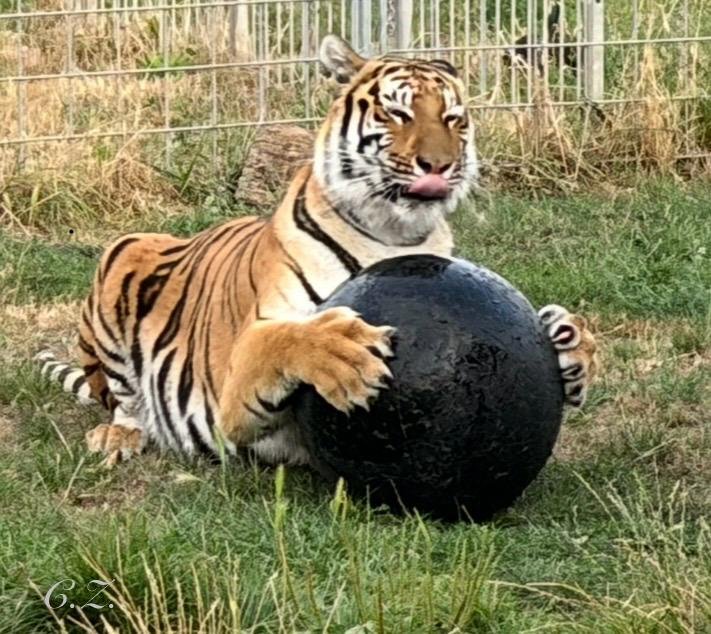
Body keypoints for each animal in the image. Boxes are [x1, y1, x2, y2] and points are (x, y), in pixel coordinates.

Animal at [36, 35, 598, 467]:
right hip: (124, 251)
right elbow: (284, 338)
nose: (439, 164)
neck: (393, 233)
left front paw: (573, 343)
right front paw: (341, 351)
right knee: (123, 401)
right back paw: (118, 436)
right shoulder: (235, 388)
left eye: (454, 119)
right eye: (398, 112)